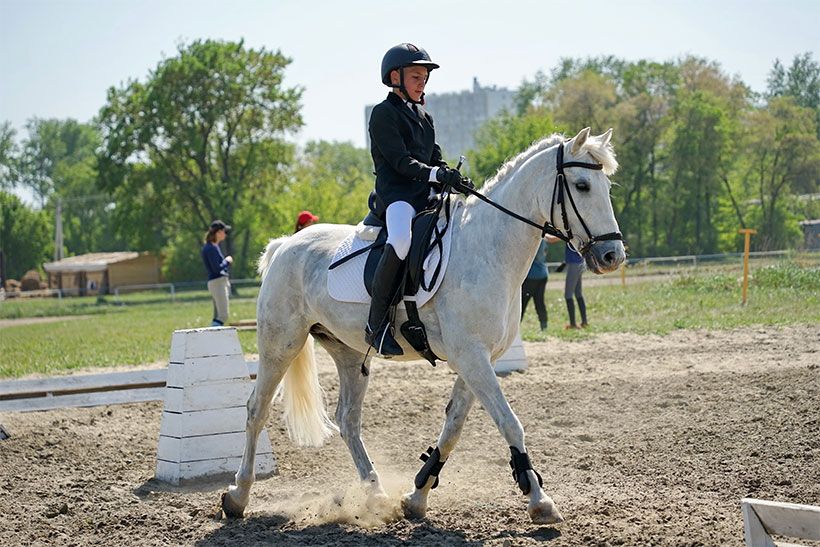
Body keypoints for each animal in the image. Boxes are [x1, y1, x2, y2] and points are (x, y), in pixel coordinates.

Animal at [221, 126, 624, 524]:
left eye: (606, 186)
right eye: (582, 185)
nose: (612, 256)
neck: (488, 249)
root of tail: (285, 244)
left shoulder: (479, 359)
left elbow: (453, 427)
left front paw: (417, 495)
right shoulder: (472, 356)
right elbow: (509, 422)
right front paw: (540, 500)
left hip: (349, 353)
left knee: (348, 420)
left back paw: (376, 494)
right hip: (281, 343)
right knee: (256, 410)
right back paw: (238, 497)